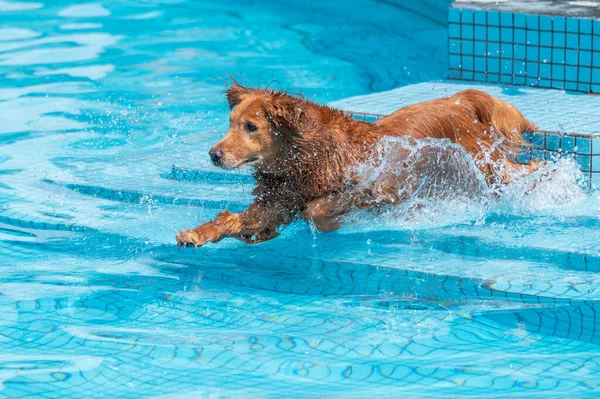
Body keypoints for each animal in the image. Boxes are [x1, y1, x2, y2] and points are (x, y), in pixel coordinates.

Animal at [176, 80, 536, 248]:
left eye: (250, 127)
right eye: (230, 123)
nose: (214, 154)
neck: (303, 157)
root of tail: (460, 99)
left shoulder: (372, 185)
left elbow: (317, 210)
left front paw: (337, 222)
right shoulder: (278, 199)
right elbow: (239, 220)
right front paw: (198, 234)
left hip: (487, 166)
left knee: (524, 171)